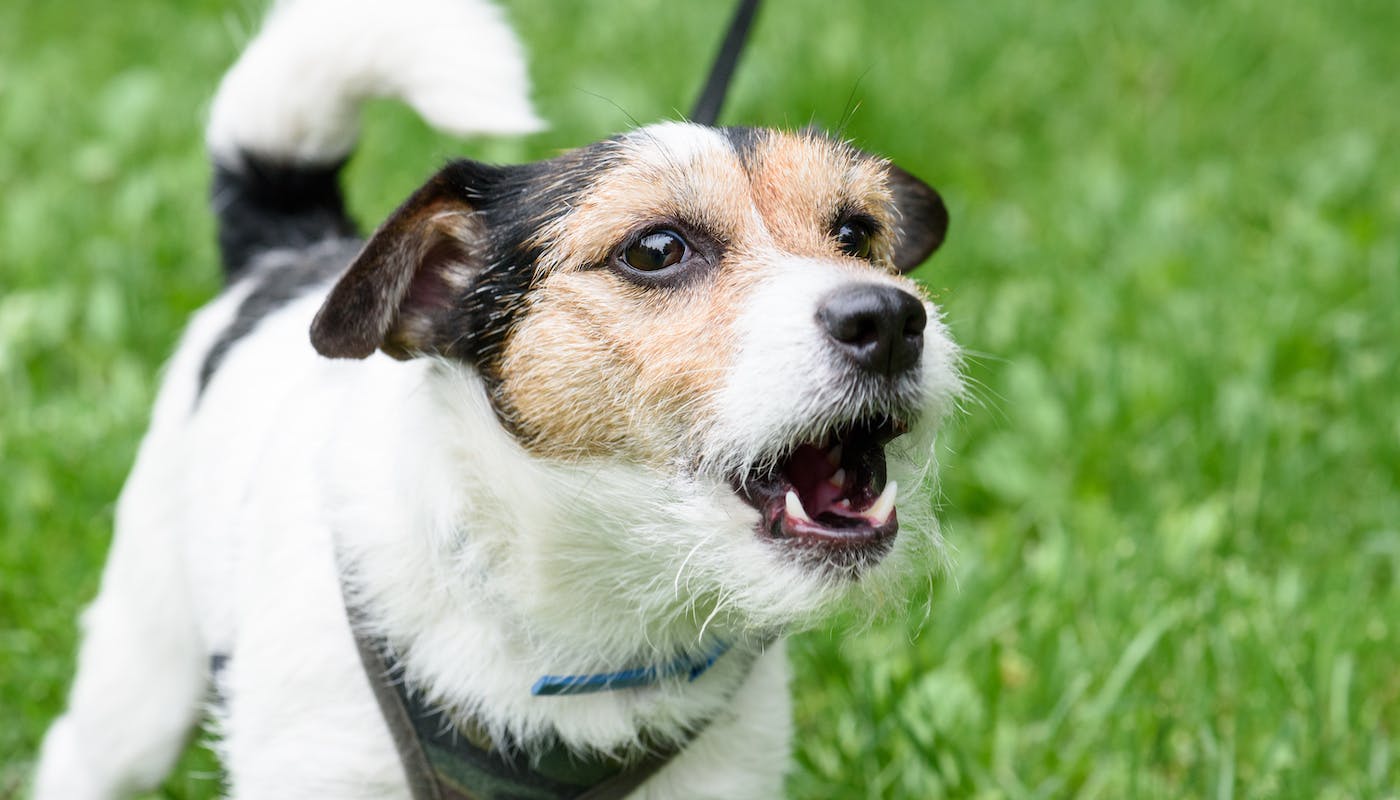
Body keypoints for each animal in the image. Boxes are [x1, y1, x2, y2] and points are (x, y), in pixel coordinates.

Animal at [40, 0, 963, 795]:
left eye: (856, 234)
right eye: (656, 249)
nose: (890, 319)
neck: (589, 622)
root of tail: (289, 251)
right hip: (142, 674)